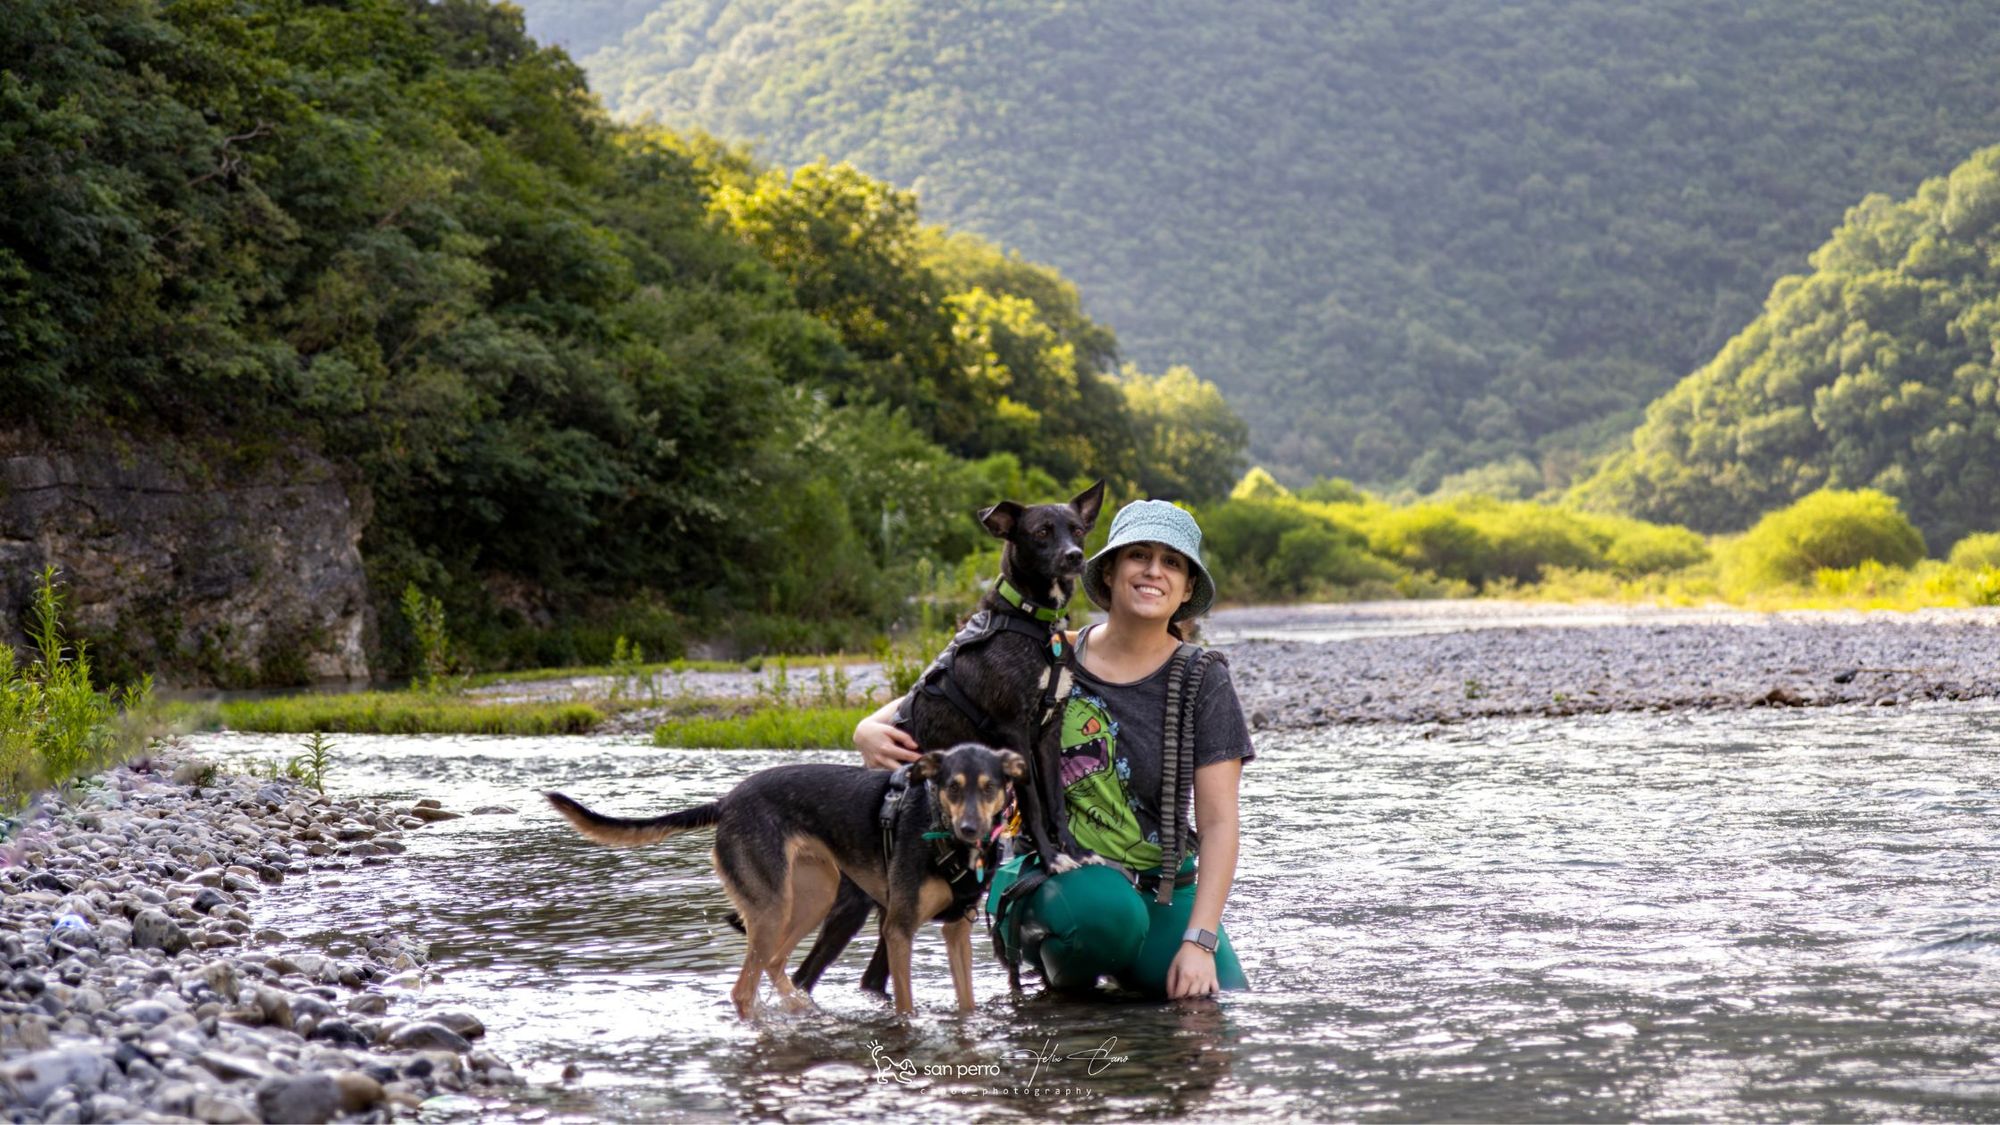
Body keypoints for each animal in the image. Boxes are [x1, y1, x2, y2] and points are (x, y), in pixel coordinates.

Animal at [544, 744, 1024, 1016]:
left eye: (988, 787)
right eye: (952, 786)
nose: (970, 829)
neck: (939, 827)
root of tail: (726, 802)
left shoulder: (956, 928)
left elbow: (967, 1006)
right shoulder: (899, 929)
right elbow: (906, 1009)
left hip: (812, 898)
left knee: (776, 966)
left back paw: (801, 1011)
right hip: (776, 909)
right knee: (744, 990)